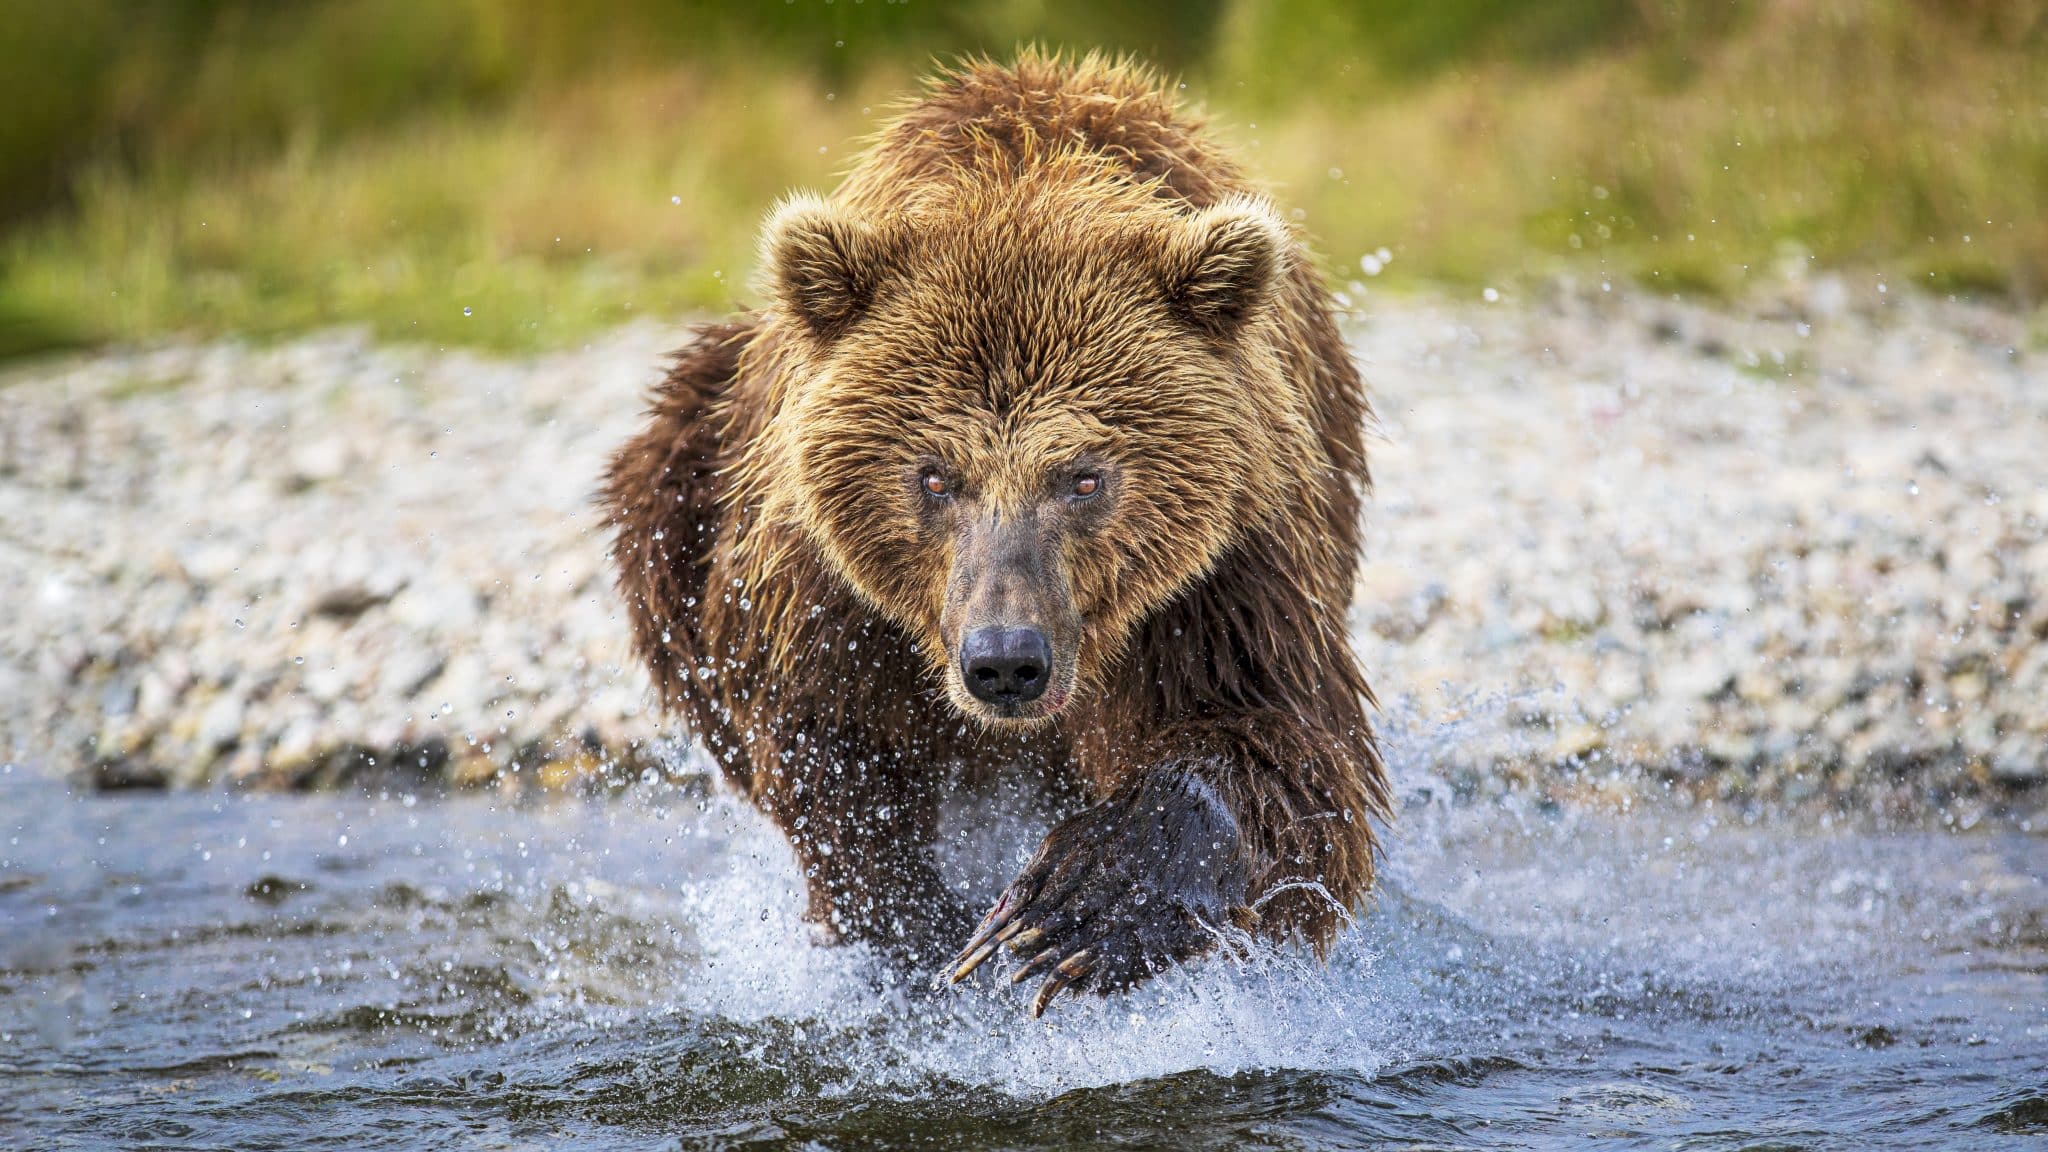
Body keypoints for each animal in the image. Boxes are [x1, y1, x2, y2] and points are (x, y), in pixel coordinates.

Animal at [603, 51, 1389, 1016]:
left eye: (1083, 476)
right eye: (935, 475)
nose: (1006, 660)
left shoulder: (1228, 575)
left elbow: (1286, 751)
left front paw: (1075, 906)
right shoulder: (825, 599)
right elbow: (831, 759)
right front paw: (926, 933)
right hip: (688, 469)